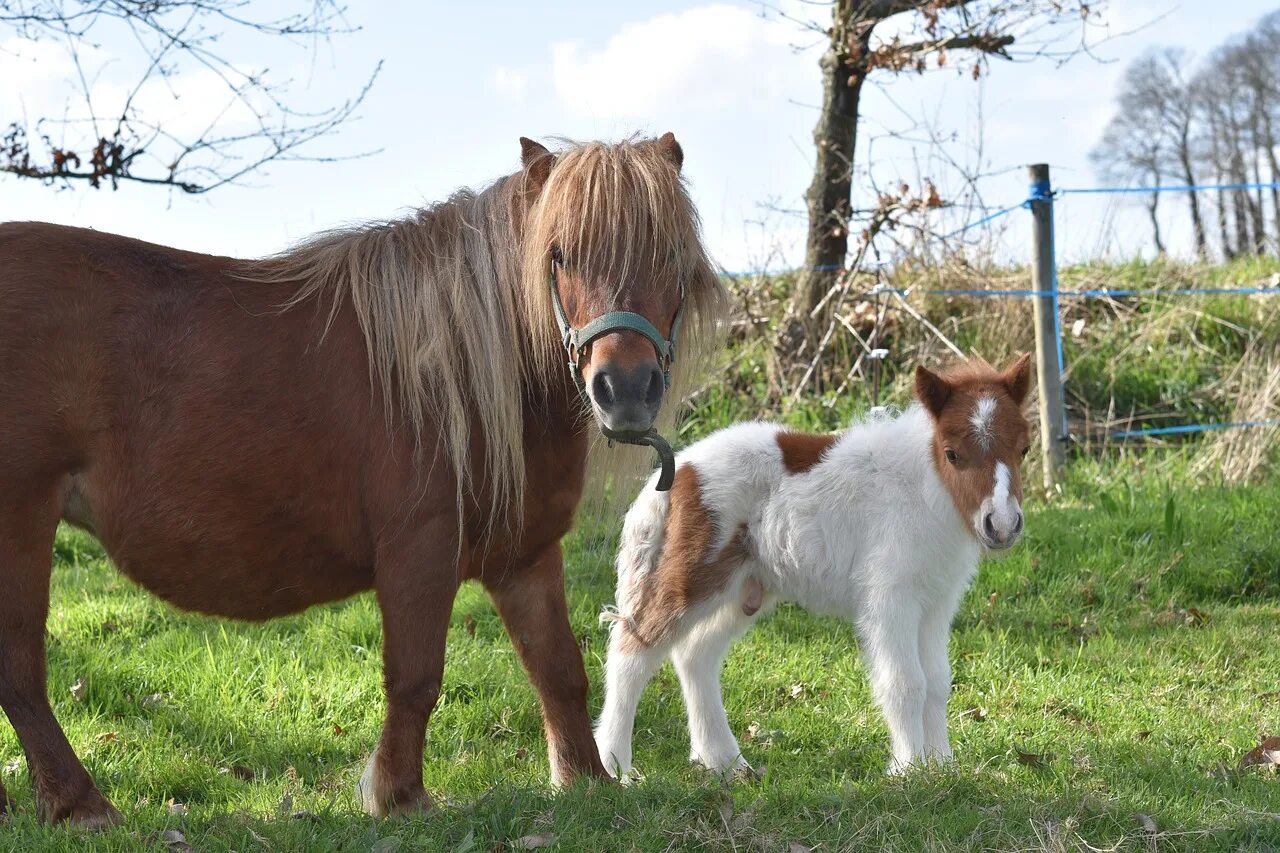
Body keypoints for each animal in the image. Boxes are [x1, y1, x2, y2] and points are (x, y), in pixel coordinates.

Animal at [0, 134, 727, 824]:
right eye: (561, 256)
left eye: (669, 254)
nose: (624, 388)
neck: (460, 368)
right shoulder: (420, 550)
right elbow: (416, 677)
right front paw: (400, 794)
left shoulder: (524, 554)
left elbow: (558, 668)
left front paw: (585, 779)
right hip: (22, 522)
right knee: (21, 669)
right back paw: (81, 804)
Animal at [596, 356, 1029, 773]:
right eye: (952, 453)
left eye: (1023, 449)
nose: (1002, 525)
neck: (925, 489)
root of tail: (677, 471)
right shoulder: (891, 599)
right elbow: (906, 683)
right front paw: (910, 770)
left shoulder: (937, 603)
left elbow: (938, 682)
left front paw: (943, 766)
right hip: (690, 577)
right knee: (632, 651)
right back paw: (613, 766)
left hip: (743, 587)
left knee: (694, 655)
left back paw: (724, 763)